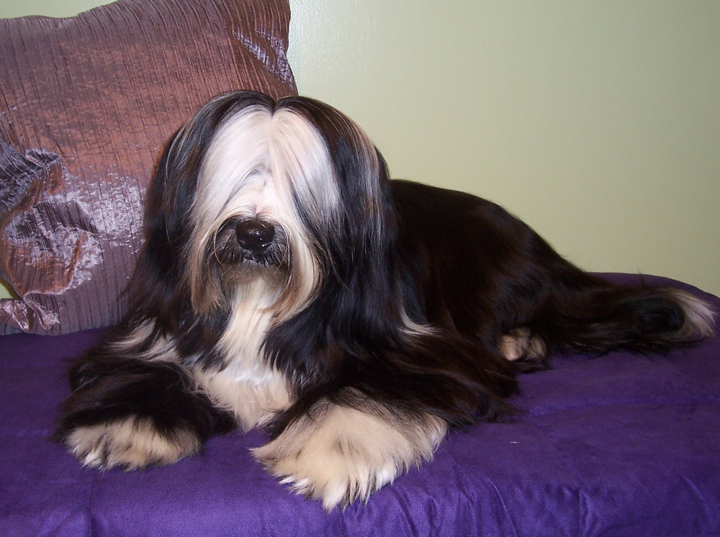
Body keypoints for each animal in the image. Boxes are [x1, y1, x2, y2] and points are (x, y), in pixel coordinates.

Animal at [53, 90, 716, 508]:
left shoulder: (419, 350)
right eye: (233, 177)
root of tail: (533, 241)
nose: (254, 233)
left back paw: (518, 339)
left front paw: (328, 451)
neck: (259, 303)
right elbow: (148, 371)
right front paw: (126, 427)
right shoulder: (158, 331)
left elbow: (361, 391)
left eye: (301, 189)